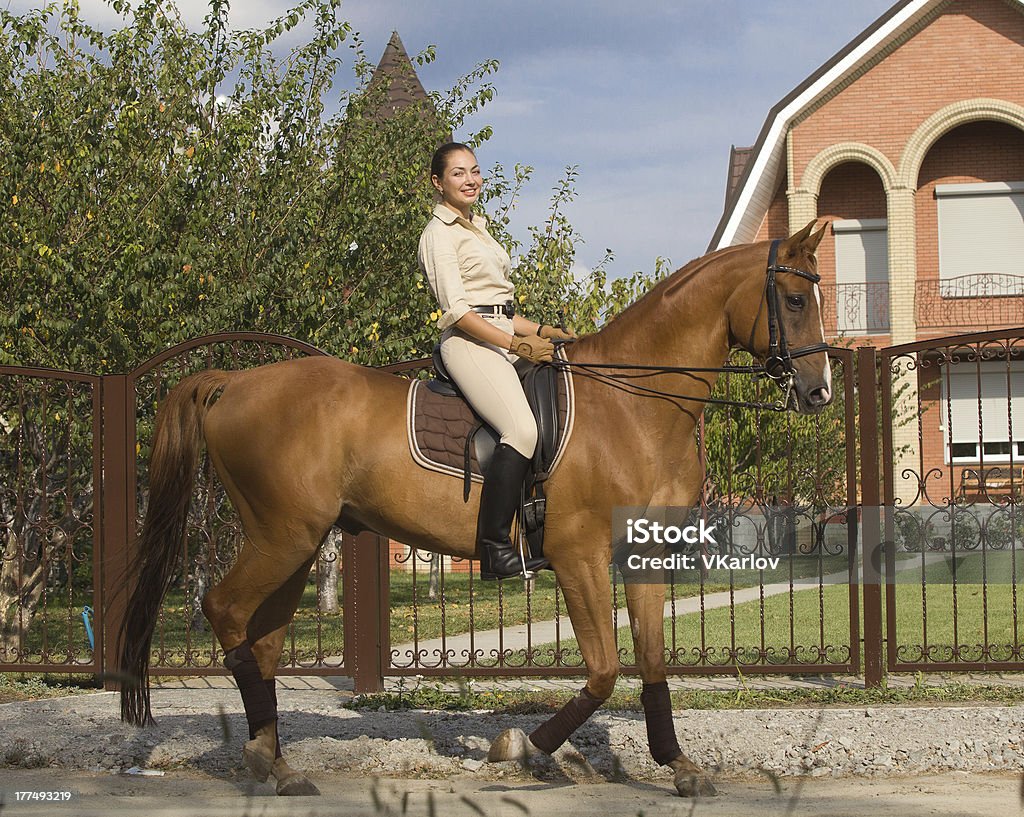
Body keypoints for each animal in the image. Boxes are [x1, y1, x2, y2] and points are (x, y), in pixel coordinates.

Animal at [117, 221, 831, 798]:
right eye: (796, 300)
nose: (819, 392)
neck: (630, 405)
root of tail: (232, 381)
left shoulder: (642, 550)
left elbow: (652, 664)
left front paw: (678, 766)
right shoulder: (577, 556)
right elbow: (604, 670)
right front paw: (522, 748)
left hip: (297, 541)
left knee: (262, 640)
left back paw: (278, 764)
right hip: (283, 536)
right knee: (226, 612)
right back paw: (266, 759)